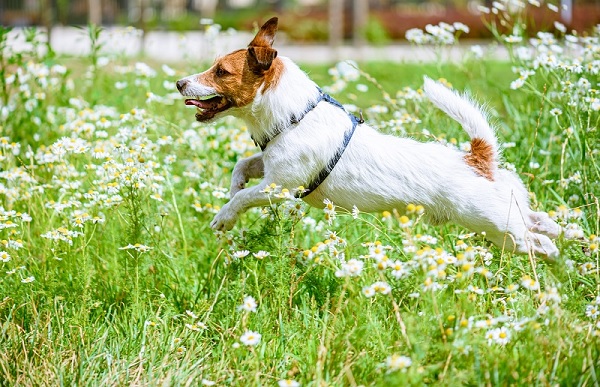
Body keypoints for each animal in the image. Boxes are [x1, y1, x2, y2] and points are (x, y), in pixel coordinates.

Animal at [177, 17, 564, 258]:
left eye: (220, 72)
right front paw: (233, 189)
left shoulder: (280, 187)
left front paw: (225, 216)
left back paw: (556, 263)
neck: (294, 116)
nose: (180, 83)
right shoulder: (270, 167)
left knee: (538, 244)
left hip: (496, 227)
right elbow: (243, 166)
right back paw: (568, 236)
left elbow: (245, 198)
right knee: (543, 223)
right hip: (508, 213)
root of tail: (478, 159)